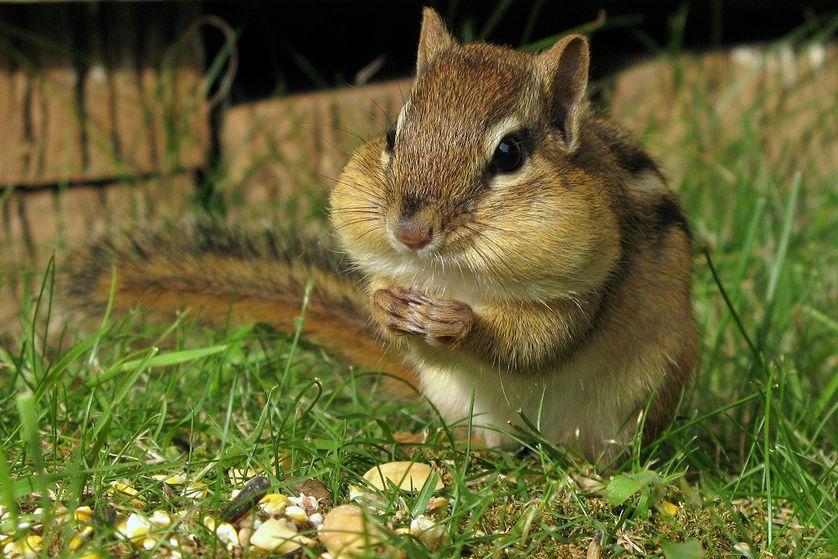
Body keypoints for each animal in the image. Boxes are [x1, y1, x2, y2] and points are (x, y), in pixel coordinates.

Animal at [67, 8, 698, 463]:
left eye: (510, 153)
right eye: (393, 133)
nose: (409, 230)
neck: (453, 274)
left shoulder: (580, 290)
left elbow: (540, 341)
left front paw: (460, 324)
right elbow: (384, 302)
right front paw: (388, 307)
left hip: (640, 401)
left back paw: (587, 473)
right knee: (489, 445)